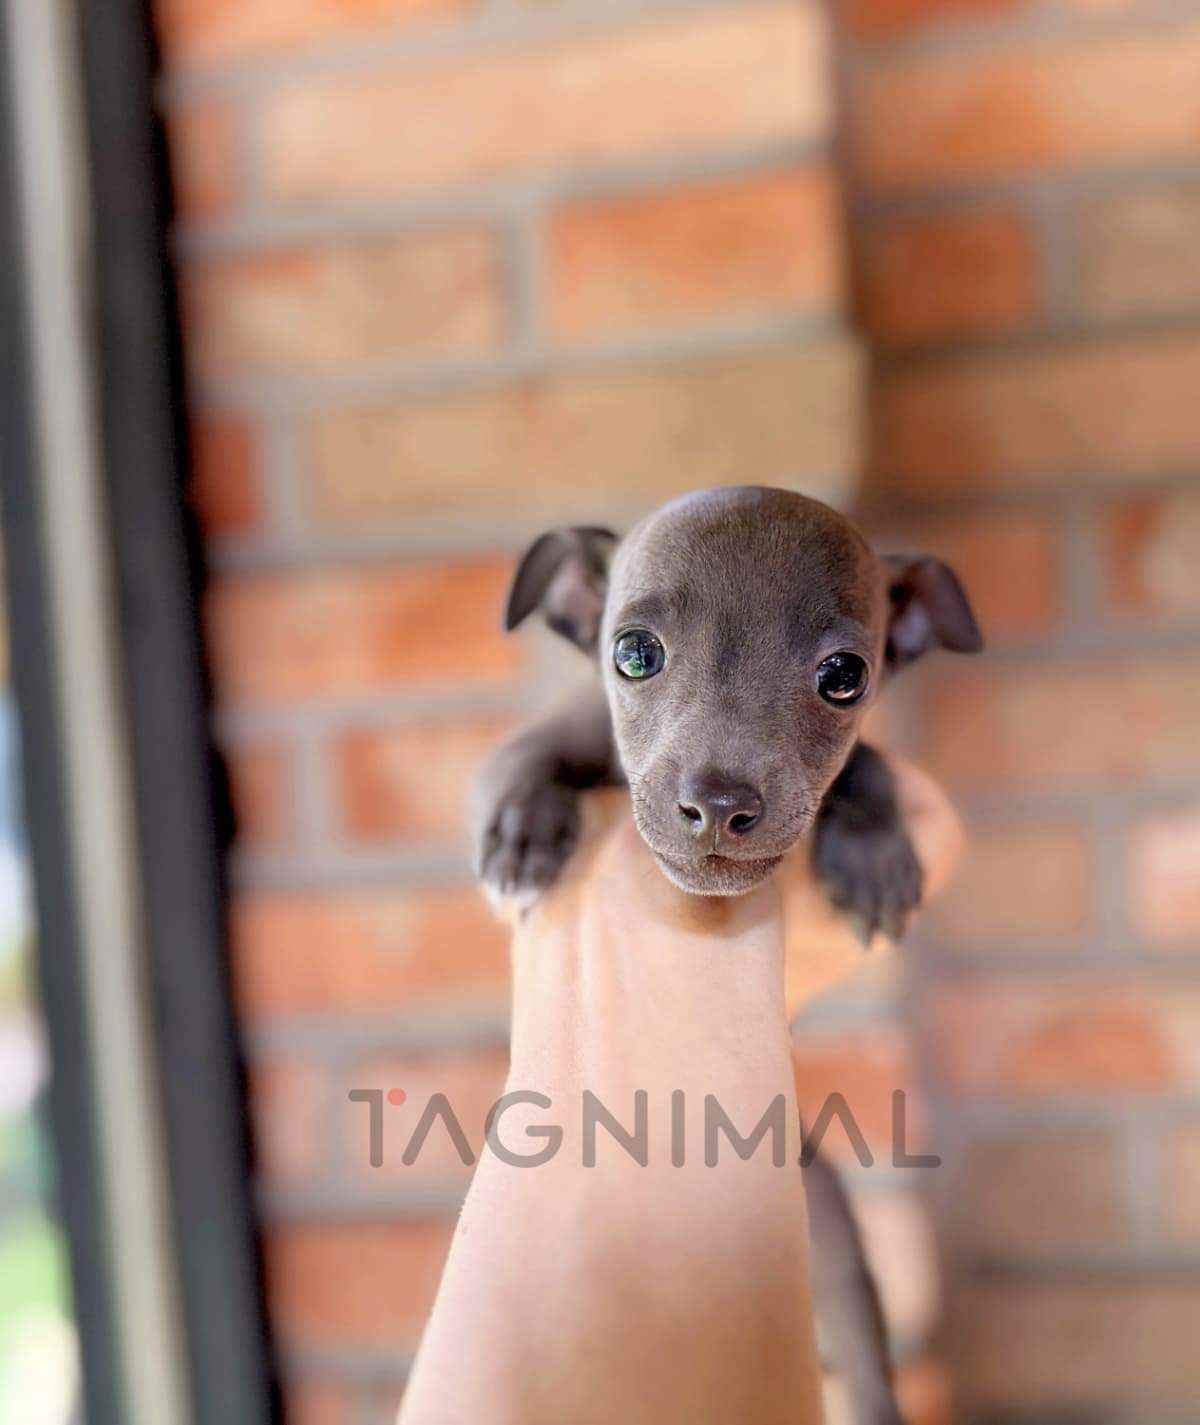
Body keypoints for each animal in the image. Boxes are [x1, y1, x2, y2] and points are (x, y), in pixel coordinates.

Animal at [473, 486, 982, 1424]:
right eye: (634, 652)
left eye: (845, 676)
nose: (717, 803)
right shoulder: (552, 735)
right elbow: (531, 750)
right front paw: (523, 825)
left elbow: (866, 764)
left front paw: (872, 845)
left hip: (837, 1246)